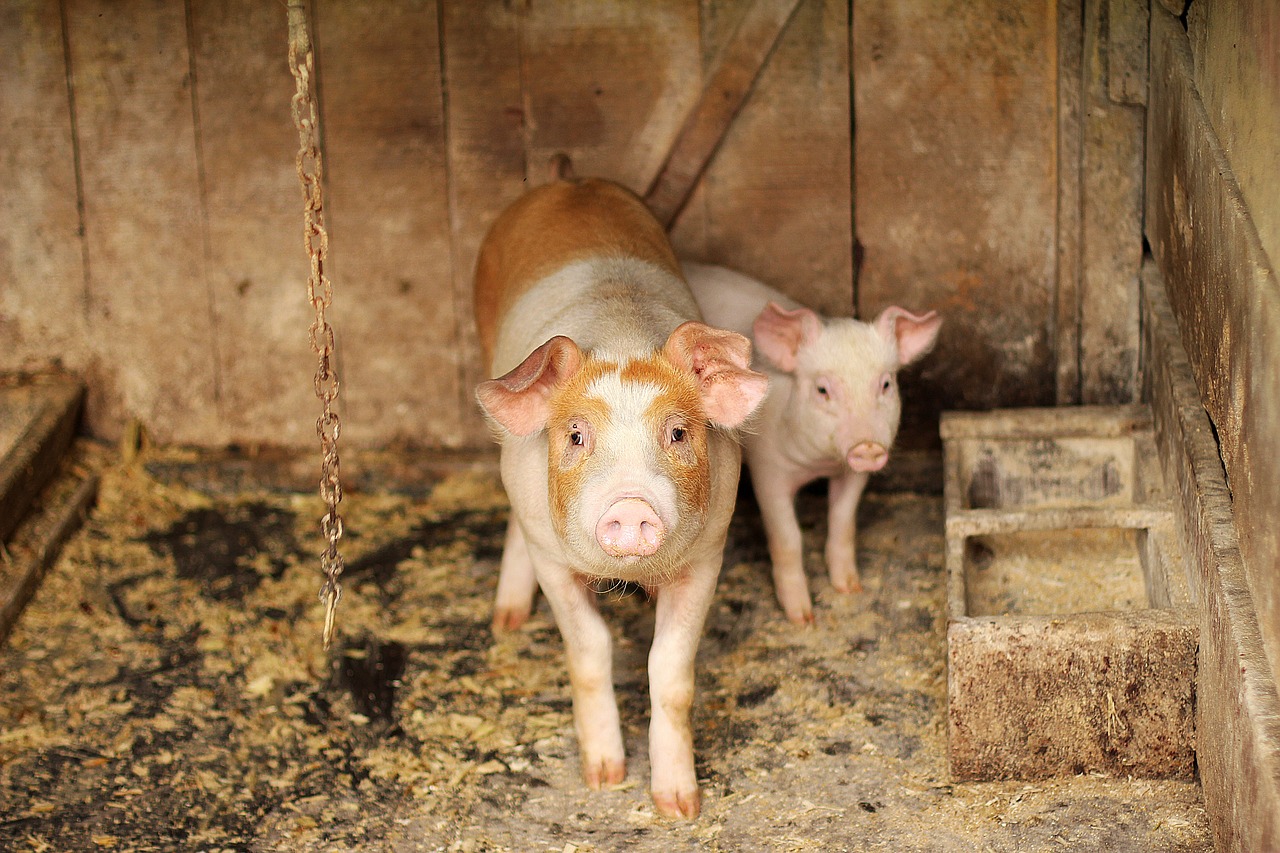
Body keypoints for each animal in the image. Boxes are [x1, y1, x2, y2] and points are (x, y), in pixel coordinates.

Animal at [476, 180, 762, 819]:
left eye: (678, 432)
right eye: (576, 435)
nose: (631, 504)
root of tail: (569, 181)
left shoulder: (708, 554)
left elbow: (671, 673)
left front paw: (679, 808)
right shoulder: (552, 559)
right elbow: (590, 653)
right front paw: (604, 780)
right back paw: (507, 621)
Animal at [686, 262, 947, 622]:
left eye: (885, 384)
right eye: (823, 390)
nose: (868, 446)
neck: (819, 464)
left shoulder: (853, 474)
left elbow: (842, 522)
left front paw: (850, 588)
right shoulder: (768, 470)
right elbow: (788, 538)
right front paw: (802, 617)